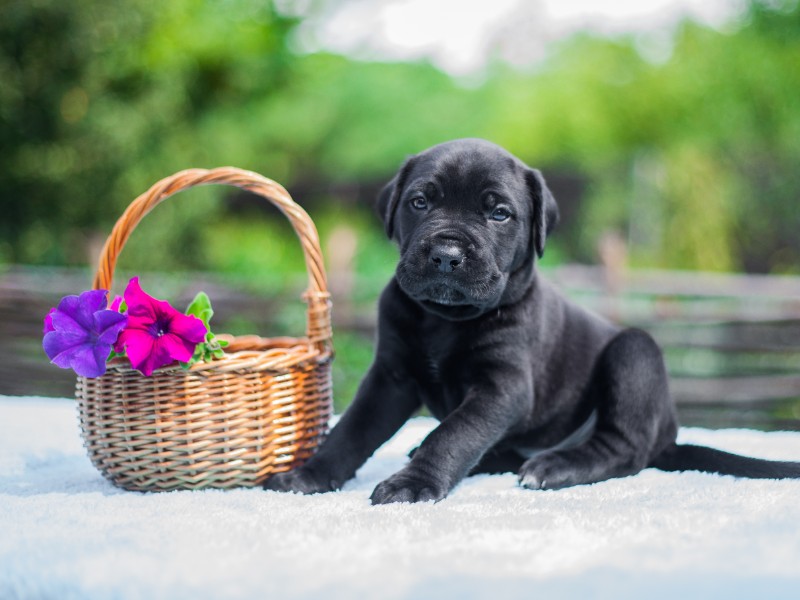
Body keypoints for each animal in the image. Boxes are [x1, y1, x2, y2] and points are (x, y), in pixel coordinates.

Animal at [268, 138, 800, 504]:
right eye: (420, 201)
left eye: (500, 214)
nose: (446, 255)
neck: (444, 319)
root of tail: (669, 435)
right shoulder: (391, 377)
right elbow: (354, 429)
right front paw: (310, 473)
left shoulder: (502, 387)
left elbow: (454, 434)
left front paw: (413, 484)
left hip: (635, 353)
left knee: (624, 448)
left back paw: (557, 467)